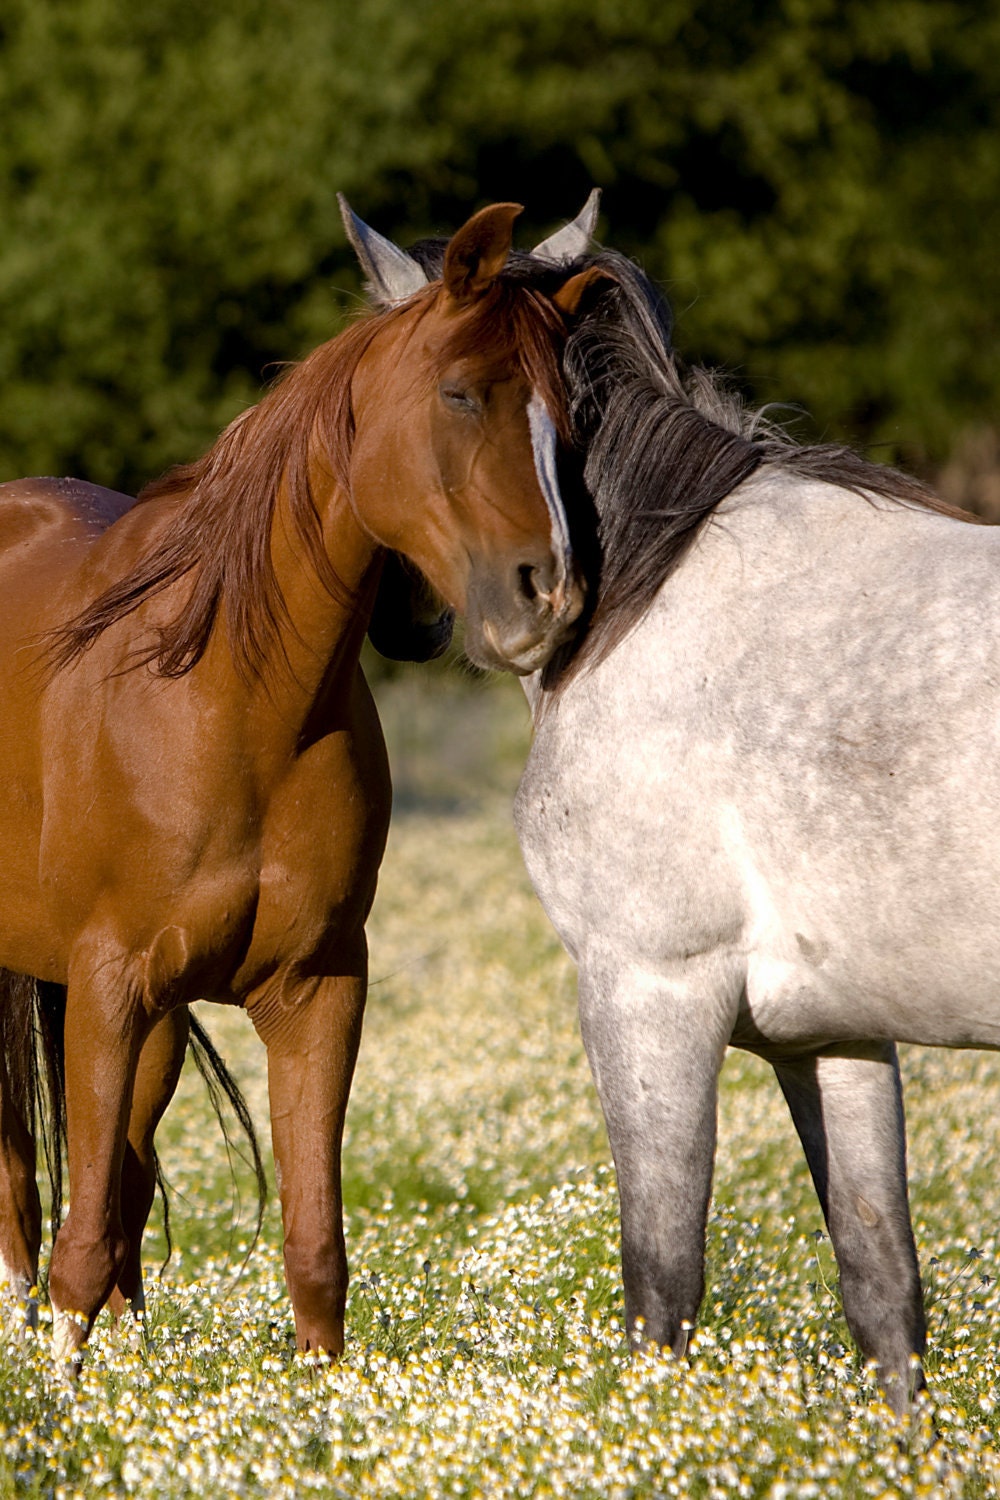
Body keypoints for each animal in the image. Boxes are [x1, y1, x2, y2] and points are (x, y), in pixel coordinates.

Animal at [0, 197, 596, 1363]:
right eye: (461, 392)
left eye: (575, 412)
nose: (545, 596)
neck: (229, 700)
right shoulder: (107, 983)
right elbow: (76, 1255)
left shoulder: (314, 990)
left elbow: (312, 1256)